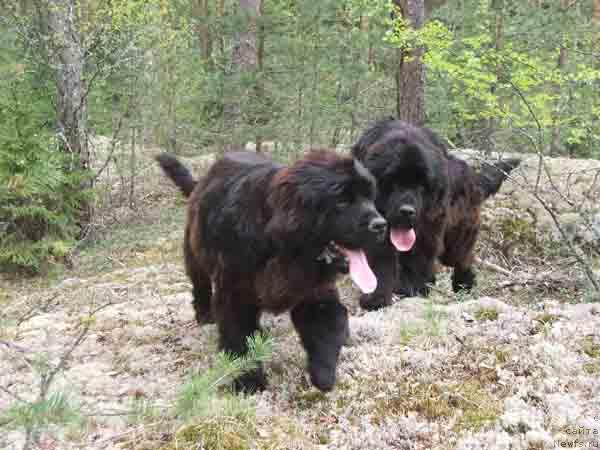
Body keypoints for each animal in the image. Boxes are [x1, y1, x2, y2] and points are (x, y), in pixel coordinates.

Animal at [157, 150, 386, 390]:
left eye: (370, 197)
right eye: (342, 201)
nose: (381, 225)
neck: (284, 248)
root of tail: (202, 181)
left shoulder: (314, 292)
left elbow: (325, 327)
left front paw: (323, 376)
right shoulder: (234, 293)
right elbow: (239, 337)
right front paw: (248, 381)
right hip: (195, 253)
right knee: (199, 284)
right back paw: (205, 314)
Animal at [352, 118, 520, 312]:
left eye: (421, 185)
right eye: (391, 181)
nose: (407, 211)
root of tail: (469, 175)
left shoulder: (428, 227)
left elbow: (416, 258)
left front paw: (409, 290)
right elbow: (380, 261)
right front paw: (376, 297)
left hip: (458, 236)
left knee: (462, 258)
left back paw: (463, 284)